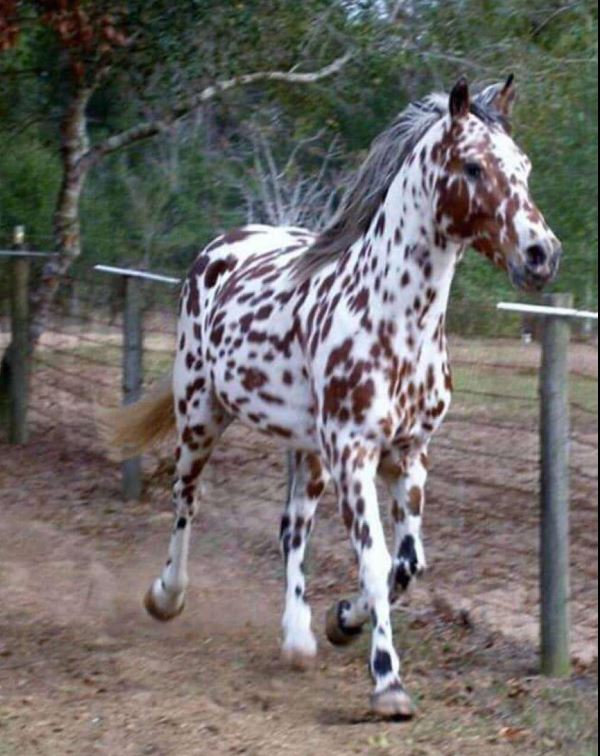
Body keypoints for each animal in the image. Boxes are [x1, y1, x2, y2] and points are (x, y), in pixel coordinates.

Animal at [106, 76, 561, 719]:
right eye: (473, 167)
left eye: (523, 166)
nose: (542, 255)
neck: (394, 321)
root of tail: (222, 246)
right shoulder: (354, 453)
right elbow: (375, 560)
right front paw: (388, 682)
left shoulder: (407, 456)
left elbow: (407, 565)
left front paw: (342, 620)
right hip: (201, 414)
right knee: (186, 499)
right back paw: (166, 597)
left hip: (306, 450)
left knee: (291, 527)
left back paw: (297, 638)